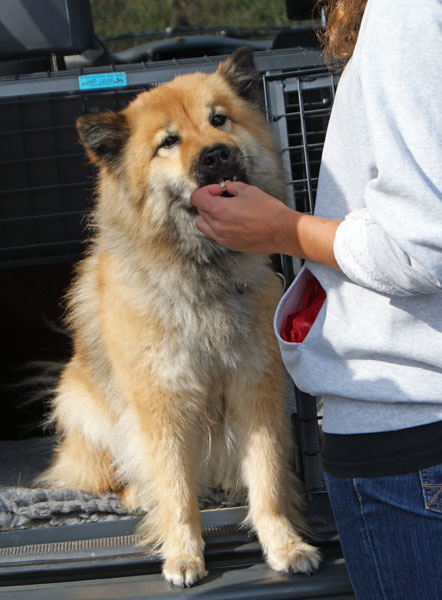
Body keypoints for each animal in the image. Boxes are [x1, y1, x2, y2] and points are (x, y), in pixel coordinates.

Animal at [38, 47, 320, 584]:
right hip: (84, 410)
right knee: (112, 479)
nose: (217, 155)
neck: (200, 274)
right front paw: (183, 553)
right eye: (168, 142)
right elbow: (175, 489)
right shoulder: (161, 404)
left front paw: (284, 544)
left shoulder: (256, 389)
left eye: (219, 120)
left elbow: (268, 479)